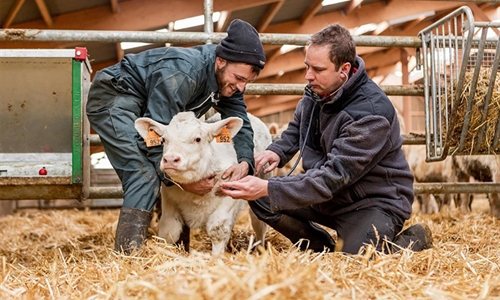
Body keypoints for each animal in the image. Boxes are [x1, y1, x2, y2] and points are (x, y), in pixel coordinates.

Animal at [135, 111, 272, 254]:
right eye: (164, 140)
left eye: (197, 139)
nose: (171, 159)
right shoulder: (168, 197)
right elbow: (169, 230)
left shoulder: (231, 192)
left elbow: (217, 228)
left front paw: (217, 257)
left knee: (259, 224)